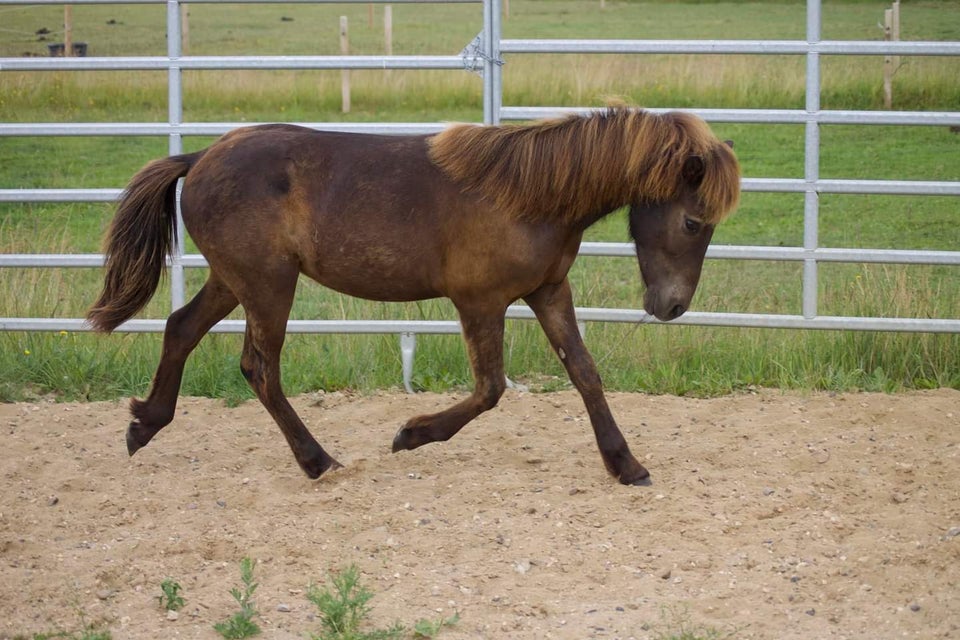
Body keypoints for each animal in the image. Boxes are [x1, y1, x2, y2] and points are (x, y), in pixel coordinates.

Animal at [86, 107, 740, 484]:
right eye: (692, 222)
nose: (671, 307)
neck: (527, 194)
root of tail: (198, 157)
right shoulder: (480, 302)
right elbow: (490, 389)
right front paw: (411, 435)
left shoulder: (548, 290)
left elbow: (584, 372)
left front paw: (626, 464)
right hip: (269, 285)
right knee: (259, 366)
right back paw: (318, 462)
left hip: (235, 279)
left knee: (181, 327)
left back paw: (144, 425)